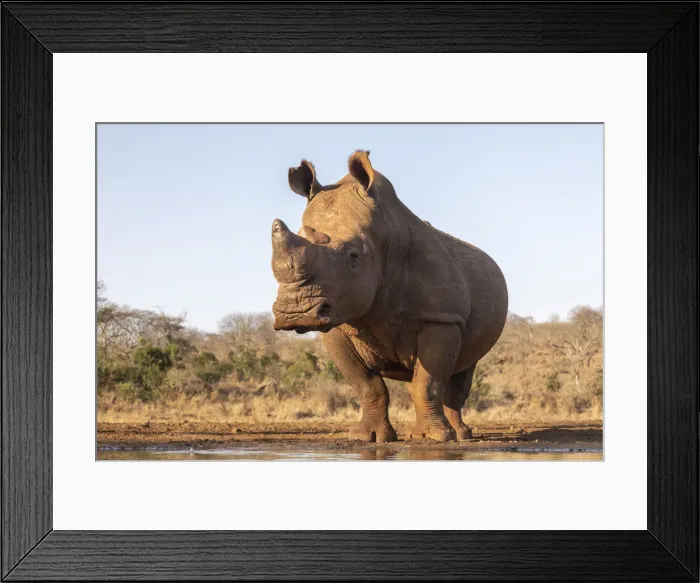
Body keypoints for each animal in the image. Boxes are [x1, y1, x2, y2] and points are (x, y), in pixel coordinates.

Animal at [271, 151, 508, 442]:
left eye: (354, 256)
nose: (296, 312)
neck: (383, 238)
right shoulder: (337, 323)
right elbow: (367, 385)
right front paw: (367, 437)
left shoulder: (441, 318)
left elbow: (428, 382)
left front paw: (433, 438)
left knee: (462, 371)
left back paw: (461, 435)